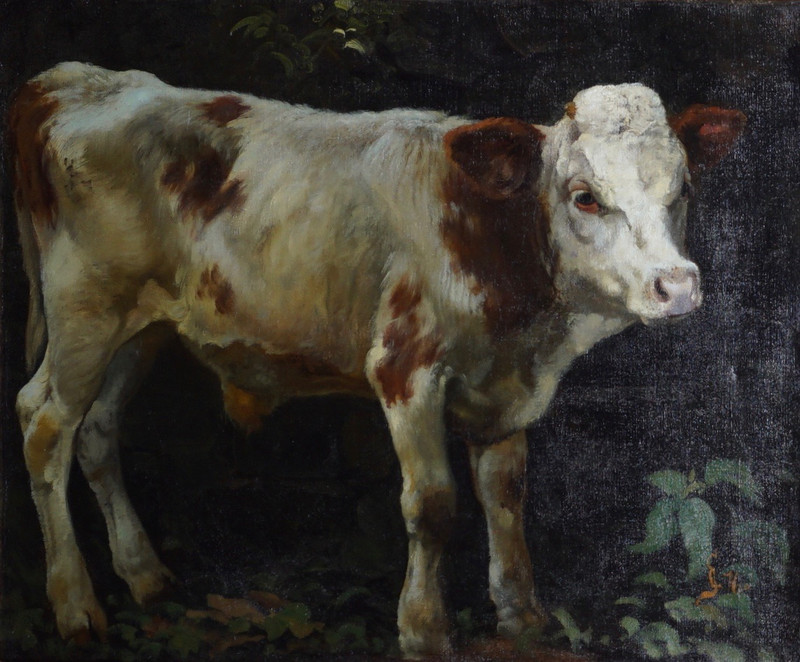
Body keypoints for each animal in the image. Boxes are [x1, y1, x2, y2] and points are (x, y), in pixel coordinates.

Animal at [9, 62, 744, 657]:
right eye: (585, 195)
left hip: (144, 328)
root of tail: (72, 80)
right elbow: (434, 504)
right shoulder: (406, 368)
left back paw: (144, 575)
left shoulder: (505, 388)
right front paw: (423, 631)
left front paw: (521, 614)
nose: (677, 285)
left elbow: (506, 493)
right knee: (44, 422)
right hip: (85, 309)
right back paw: (76, 605)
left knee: (97, 430)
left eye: (682, 189)